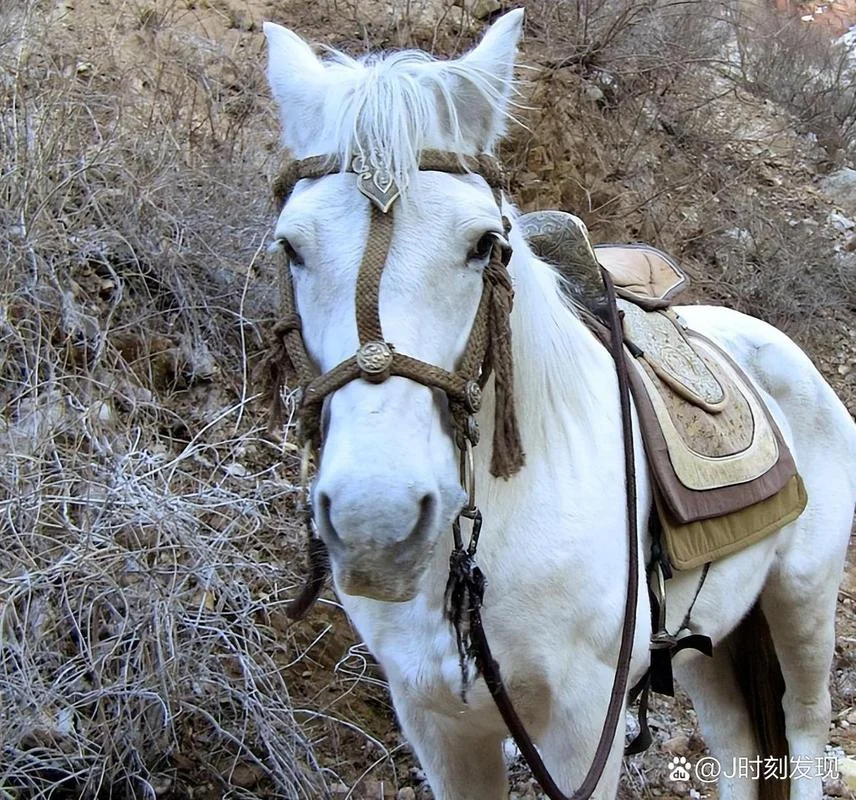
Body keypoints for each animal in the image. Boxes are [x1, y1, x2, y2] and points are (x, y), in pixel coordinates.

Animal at [262, 10, 856, 799]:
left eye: (483, 244)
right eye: (292, 248)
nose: (377, 524)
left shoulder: (583, 728)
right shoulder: (436, 724)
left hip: (802, 599)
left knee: (804, 725)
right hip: (710, 636)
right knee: (736, 744)